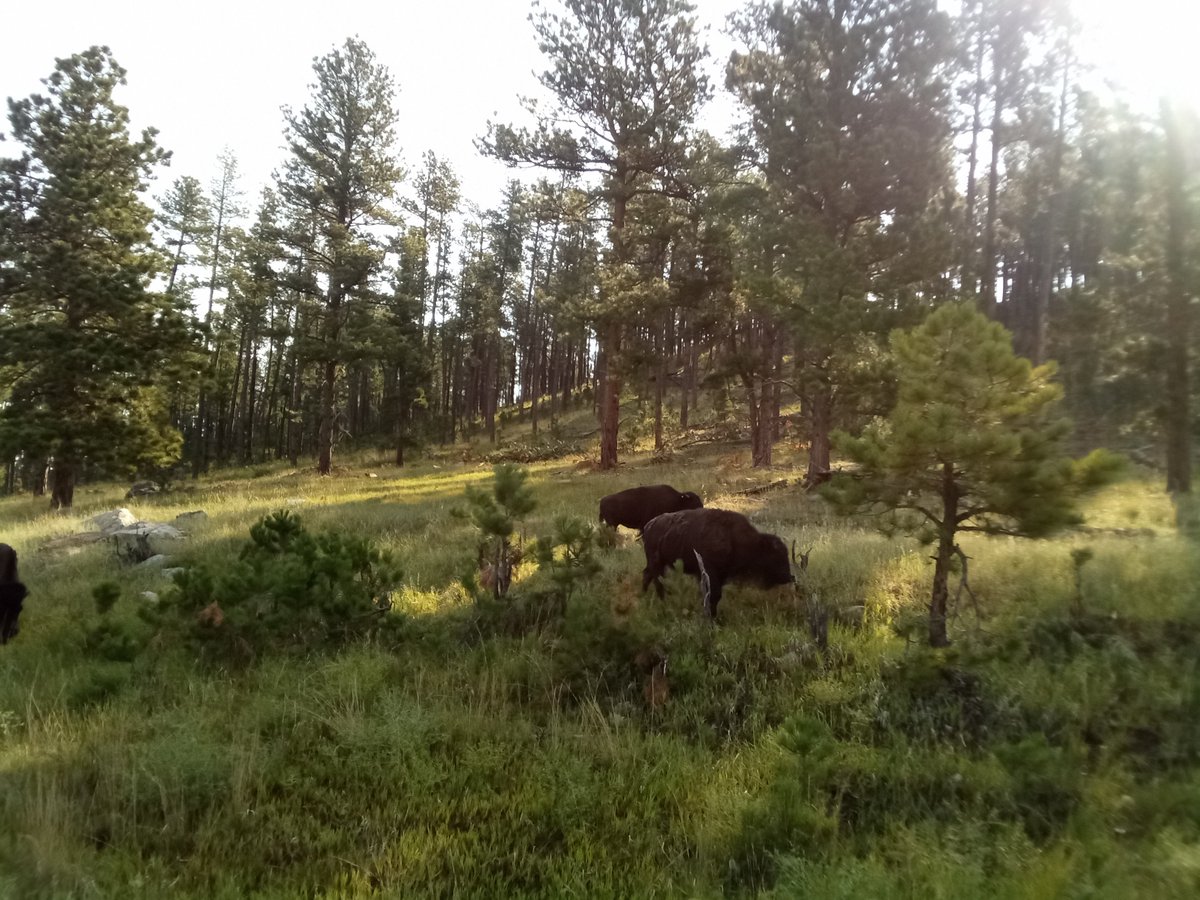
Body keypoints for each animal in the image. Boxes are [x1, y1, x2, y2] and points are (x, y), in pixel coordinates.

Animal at [641, 509, 794, 618]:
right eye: (774, 555)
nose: (789, 576)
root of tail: (649, 525)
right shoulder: (711, 573)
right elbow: (713, 596)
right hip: (657, 563)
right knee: (657, 581)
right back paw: (661, 601)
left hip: (657, 563)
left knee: (647, 575)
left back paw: (643, 596)